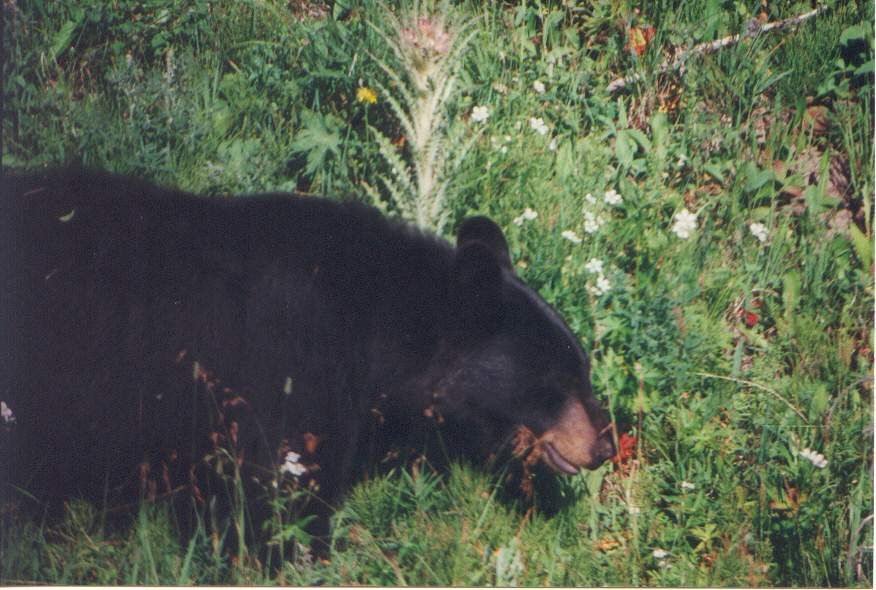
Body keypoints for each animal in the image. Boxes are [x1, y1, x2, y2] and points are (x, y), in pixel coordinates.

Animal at [0, 171, 616, 552]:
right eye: (561, 380)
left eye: (584, 368)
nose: (605, 446)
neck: (373, 329)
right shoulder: (284, 377)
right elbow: (280, 501)